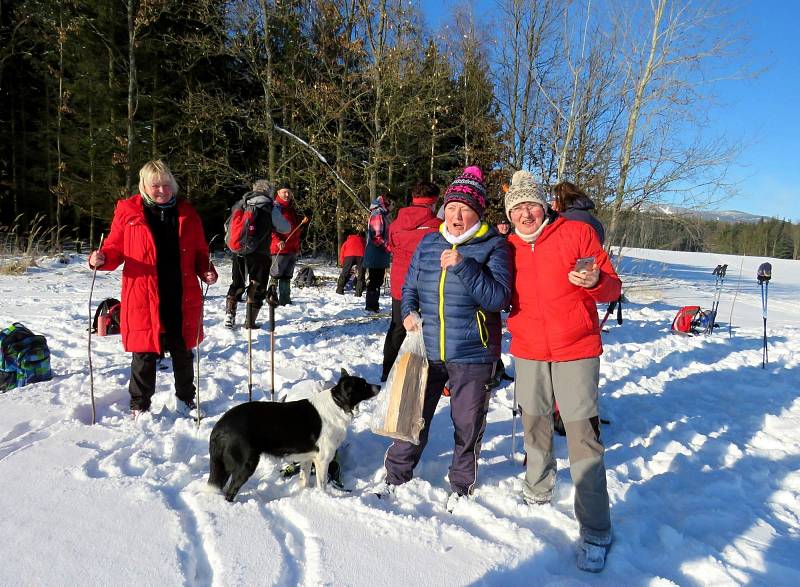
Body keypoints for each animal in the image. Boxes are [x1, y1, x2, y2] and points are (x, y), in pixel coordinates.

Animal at [208, 372, 380, 500]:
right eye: (364, 384)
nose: (379, 386)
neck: (338, 404)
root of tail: (219, 426)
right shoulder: (323, 459)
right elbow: (322, 485)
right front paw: (325, 499)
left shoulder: (308, 458)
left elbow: (304, 480)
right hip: (246, 464)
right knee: (230, 492)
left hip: (225, 465)